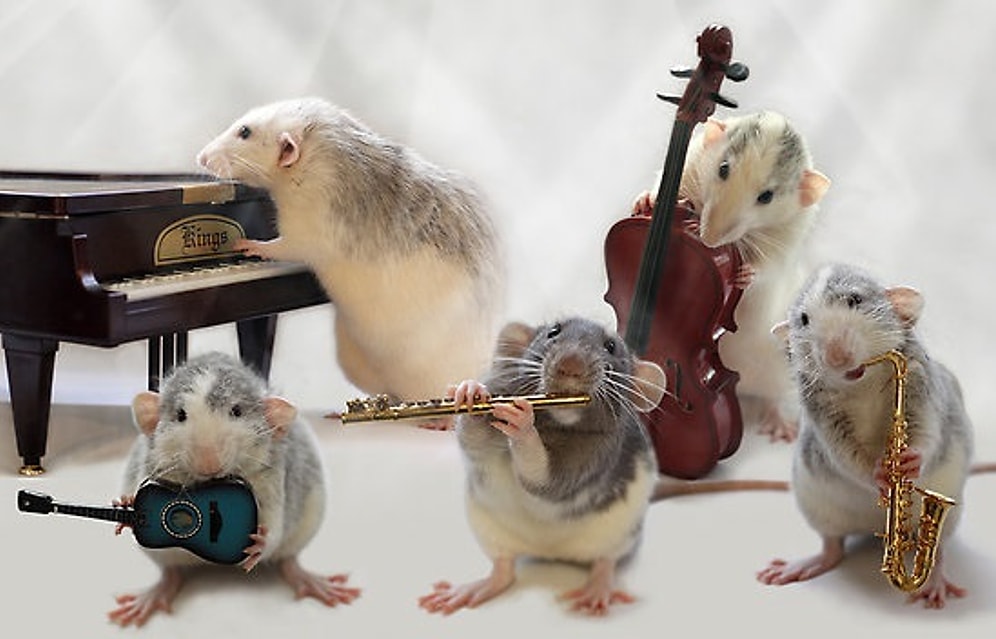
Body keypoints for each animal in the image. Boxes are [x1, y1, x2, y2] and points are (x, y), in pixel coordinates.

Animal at [108, 352, 360, 627]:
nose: (208, 462)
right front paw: (128, 505)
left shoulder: (271, 479)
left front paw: (262, 543)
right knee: (171, 569)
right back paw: (158, 592)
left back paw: (305, 578)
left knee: (288, 557)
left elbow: (274, 525)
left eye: (236, 411)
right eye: (181, 415)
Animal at [197, 97, 503, 428]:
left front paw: (252, 245)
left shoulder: (310, 221)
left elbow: (290, 246)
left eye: (245, 132)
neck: (319, 143)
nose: (202, 157)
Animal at [418, 317, 666, 616]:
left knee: (606, 561)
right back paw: (478, 587)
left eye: (610, 346)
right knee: (504, 571)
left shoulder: (597, 453)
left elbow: (549, 482)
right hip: (489, 528)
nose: (571, 364)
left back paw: (598, 588)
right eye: (553, 332)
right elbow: (474, 442)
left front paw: (524, 427)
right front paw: (470, 392)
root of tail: (549, 551)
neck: (554, 422)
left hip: (622, 535)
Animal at [633, 111, 830, 441]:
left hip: (781, 368)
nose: (709, 239)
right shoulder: (690, 165)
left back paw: (777, 420)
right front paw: (646, 199)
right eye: (723, 168)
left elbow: (769, 267)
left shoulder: (789, 235)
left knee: (772, 396)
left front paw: (748, 273)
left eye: (767, 196)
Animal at [757, 263, 974, 609]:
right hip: (815, 502)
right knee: (833, 547)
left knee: (937, 547)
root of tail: (871, 526)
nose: (836, 356)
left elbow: (929, 431)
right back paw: (808, 563)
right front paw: (879, 474)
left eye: (854, 300)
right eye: (804, 319)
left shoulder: (921, 386)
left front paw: (912, 460)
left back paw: (935, 581)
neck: (862, 385)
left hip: (952, 510)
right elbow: (842, 454)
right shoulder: (822, 415)